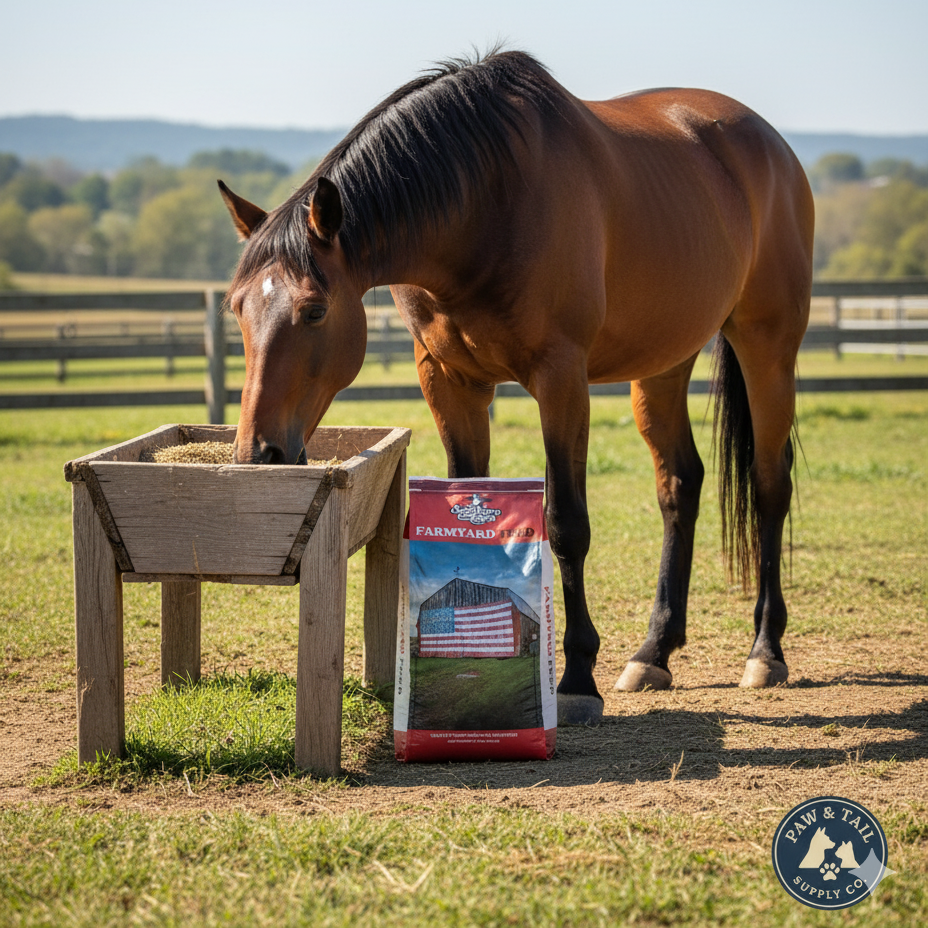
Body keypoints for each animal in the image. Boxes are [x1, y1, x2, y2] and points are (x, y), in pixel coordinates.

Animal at [219, 50, 813, 725]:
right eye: (237, 309)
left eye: (314, 310)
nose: (258, 453)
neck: (485, 205)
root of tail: (769, 145)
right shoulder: (450, 382)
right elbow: (468, 491)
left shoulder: (561, 378)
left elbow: (567, 525)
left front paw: (577, 678)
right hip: (664, 360)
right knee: (679, 485)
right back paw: (653, 653)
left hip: (768, 345)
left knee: (769, 487)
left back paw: (765, 651)